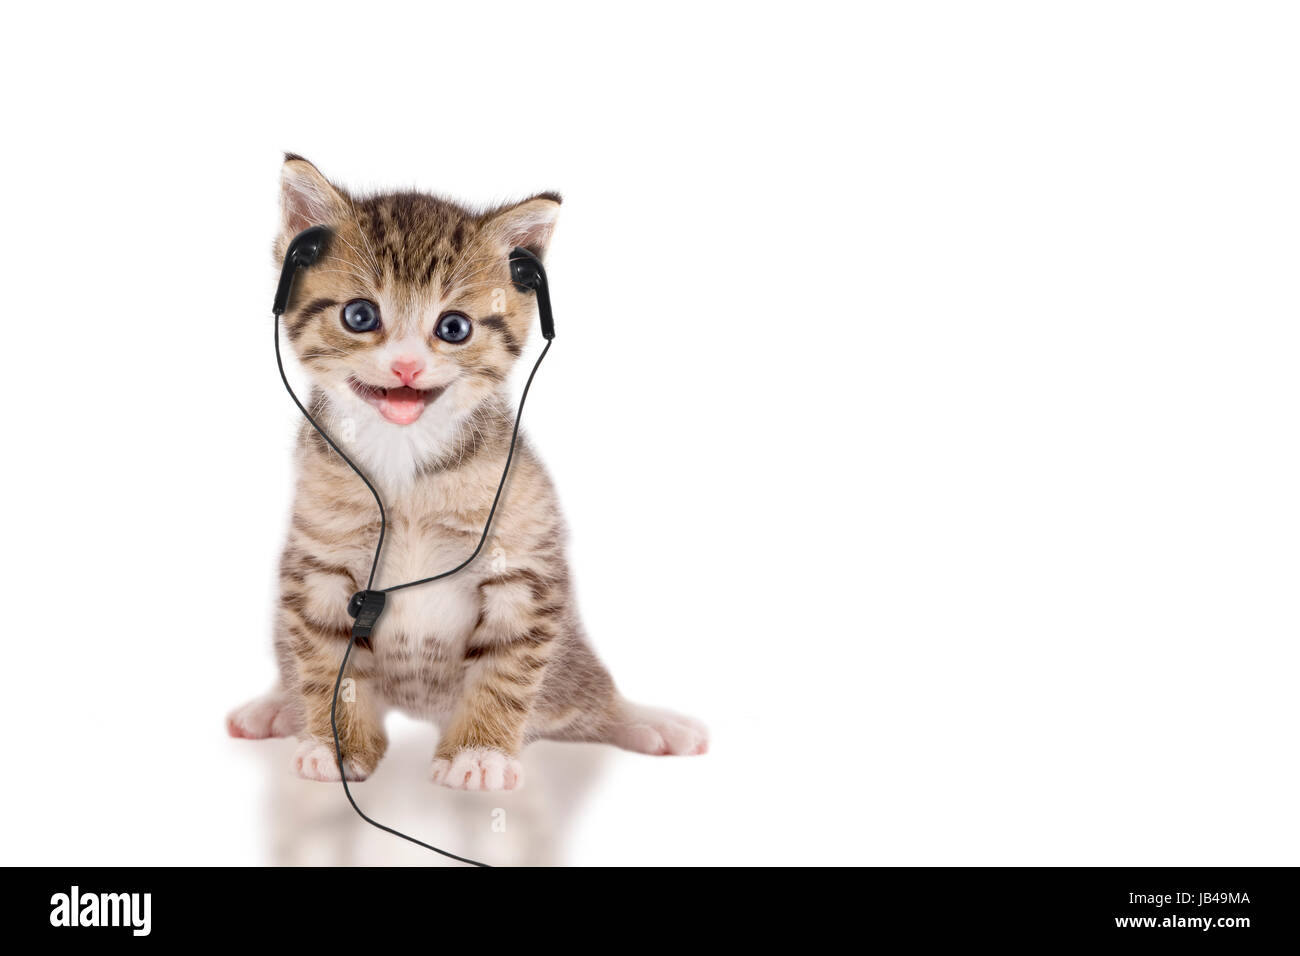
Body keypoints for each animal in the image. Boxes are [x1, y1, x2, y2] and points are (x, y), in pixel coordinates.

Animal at [228, 153, 707, 790]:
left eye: (453, 327)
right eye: (360, 315)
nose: (406, 367)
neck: (406, 461)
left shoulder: (524, 565)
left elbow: (507, 666)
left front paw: (478, 753)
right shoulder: (318, 563)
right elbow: (326, 662)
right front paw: (336, 744)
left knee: (587, 696)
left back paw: (649, 723)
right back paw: (277, 707)